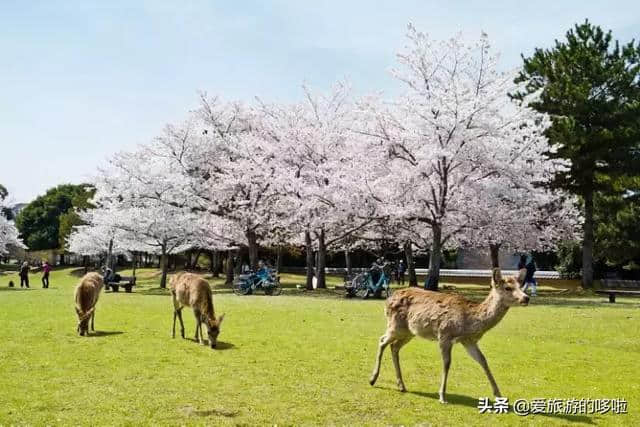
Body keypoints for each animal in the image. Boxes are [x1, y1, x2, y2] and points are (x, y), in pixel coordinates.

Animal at [368, 270, 528, 402]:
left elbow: (483, 360)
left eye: (521, 285)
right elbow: (447, 362)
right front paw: (442, 395)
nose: (526, 298)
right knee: (382, 340)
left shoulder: (468, 341)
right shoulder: (445, 334)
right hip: (395, 325)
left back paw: (401, 385)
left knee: (394, 346)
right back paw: (373, 379)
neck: (469, 321)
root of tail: (389, 299)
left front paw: (499, 394)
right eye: (508, 288)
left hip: (409, 331)